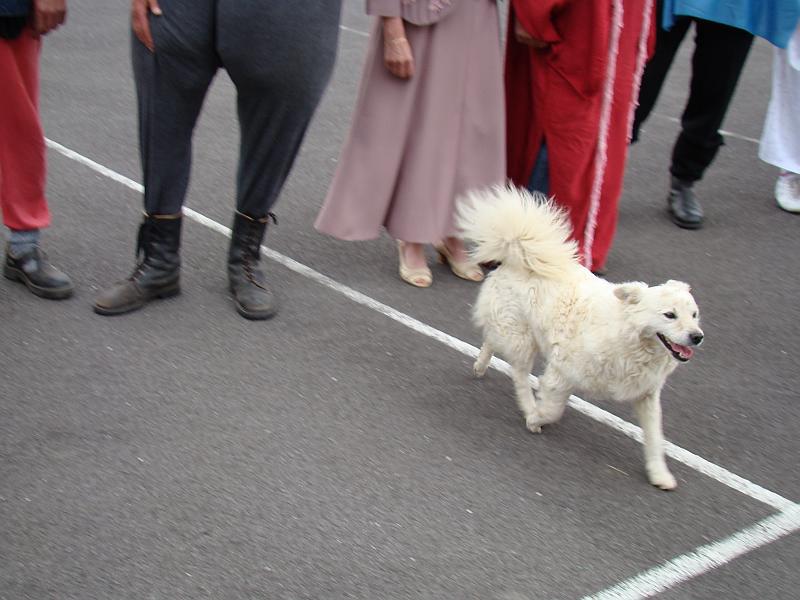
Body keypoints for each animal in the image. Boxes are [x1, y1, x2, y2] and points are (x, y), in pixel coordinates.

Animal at [457, 186, 703, 490]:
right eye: (669, 315)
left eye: (694, 314)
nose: (697, 337)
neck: (627, 336)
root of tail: (516, 253)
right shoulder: (562, 373)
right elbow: (552, 408)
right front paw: (535, 418)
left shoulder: (647, 395)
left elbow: (655, 438)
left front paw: (660, 475)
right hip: (522, 337)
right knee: (519, 374)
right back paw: (526, 404)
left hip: (517, 333)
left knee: (492, 340)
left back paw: (480, 366)